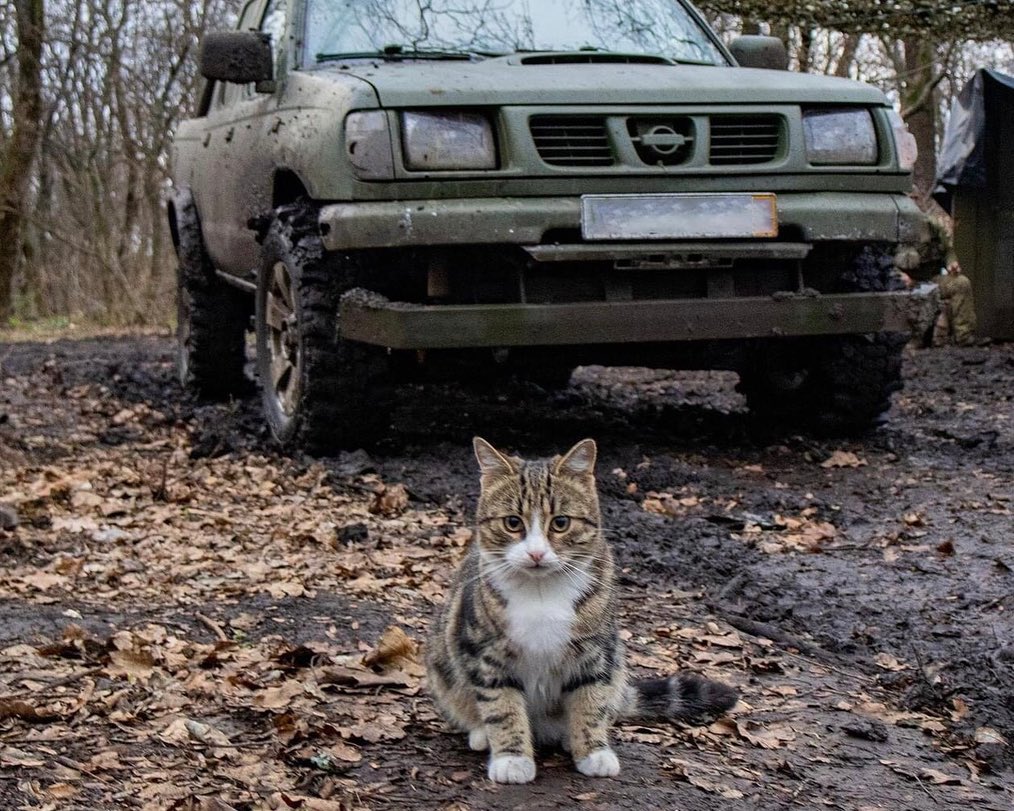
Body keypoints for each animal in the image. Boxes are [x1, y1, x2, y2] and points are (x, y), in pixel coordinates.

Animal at [423, 439, 734, 782]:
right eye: (513, 523)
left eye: (561, 523)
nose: (536, 553)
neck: (541, 593)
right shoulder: (487, 651)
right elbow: (501, 705)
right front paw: (511, 758)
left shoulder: (595, 651)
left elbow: (590, 701)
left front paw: (593, 752)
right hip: (442, 661)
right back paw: (481, 734)